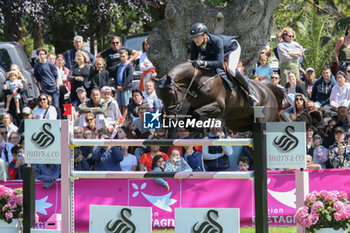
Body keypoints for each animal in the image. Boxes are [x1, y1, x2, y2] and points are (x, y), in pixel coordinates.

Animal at [156, 62, 284, 132]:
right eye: (159, 96)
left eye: (171, 93)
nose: (170, 117)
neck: (199, 80)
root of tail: (268, 89)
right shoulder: (195, 105)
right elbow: (189, 119)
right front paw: (199, 129)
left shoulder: (219, 106)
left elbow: (196, 113)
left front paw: (203, 129)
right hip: (236, 123)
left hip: (263, 118)